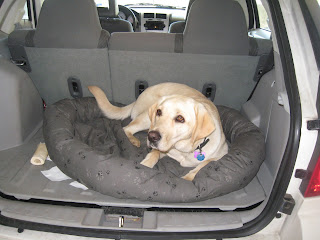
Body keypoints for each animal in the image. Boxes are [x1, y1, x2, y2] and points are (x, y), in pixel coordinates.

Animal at [88, 82, 228, 180]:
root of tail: (139, 97)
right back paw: (134, 140)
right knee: (127, 128)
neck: (184, 149)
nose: (151, 137)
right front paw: (145, 164)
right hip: (146, 118)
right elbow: (154, 154)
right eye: (159, 112)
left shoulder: (222, 153)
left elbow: (201, 166)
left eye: (180, 118)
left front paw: (188, 177)